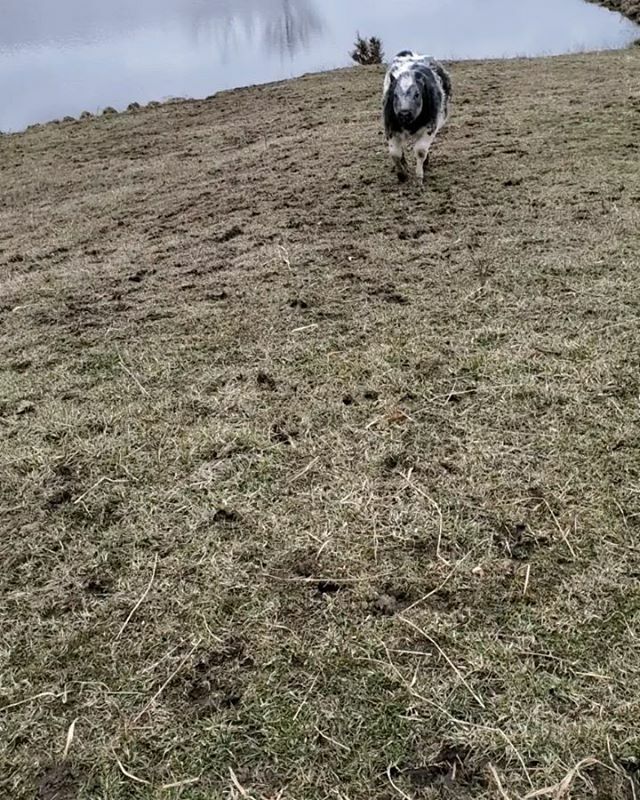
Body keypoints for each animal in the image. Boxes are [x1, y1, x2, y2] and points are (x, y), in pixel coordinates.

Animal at [382, 51, 452, 183]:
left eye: (417, 94)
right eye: (395, 95)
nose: (404, 113)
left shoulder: (430, 127)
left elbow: (420, 151)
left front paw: (419, 176)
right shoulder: (390, 128)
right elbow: (395, 153)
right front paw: (402, 175)